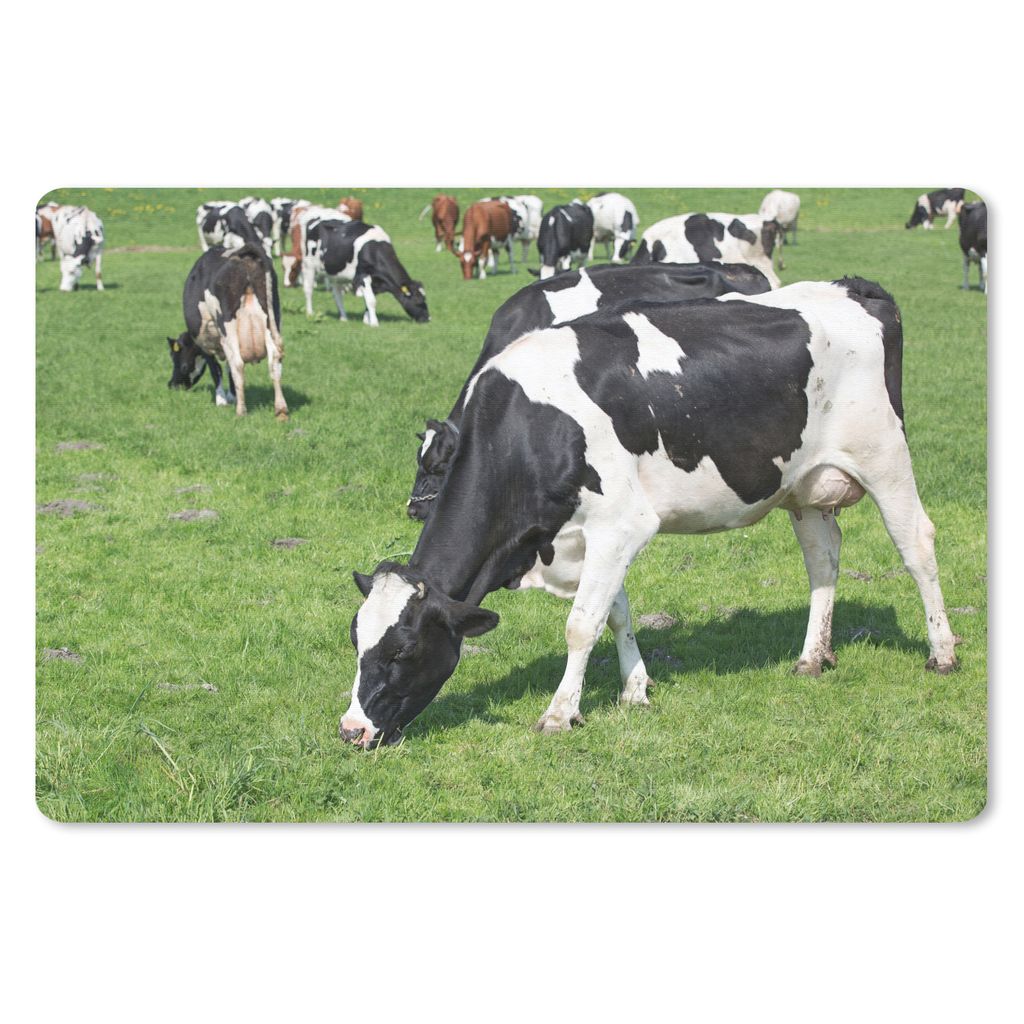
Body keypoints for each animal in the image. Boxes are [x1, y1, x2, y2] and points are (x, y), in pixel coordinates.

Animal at [167, 244, 288, 419]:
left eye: (180, 364)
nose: (173, 385)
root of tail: (245, 253)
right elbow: (227, 368)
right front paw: (232, 396)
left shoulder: (207, 341)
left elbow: (216, 369)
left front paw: (221, 400)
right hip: (272, 321)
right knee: (274, 360)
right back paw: (281, 410)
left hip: (228, 327)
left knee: (237, 363)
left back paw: (241, 411)